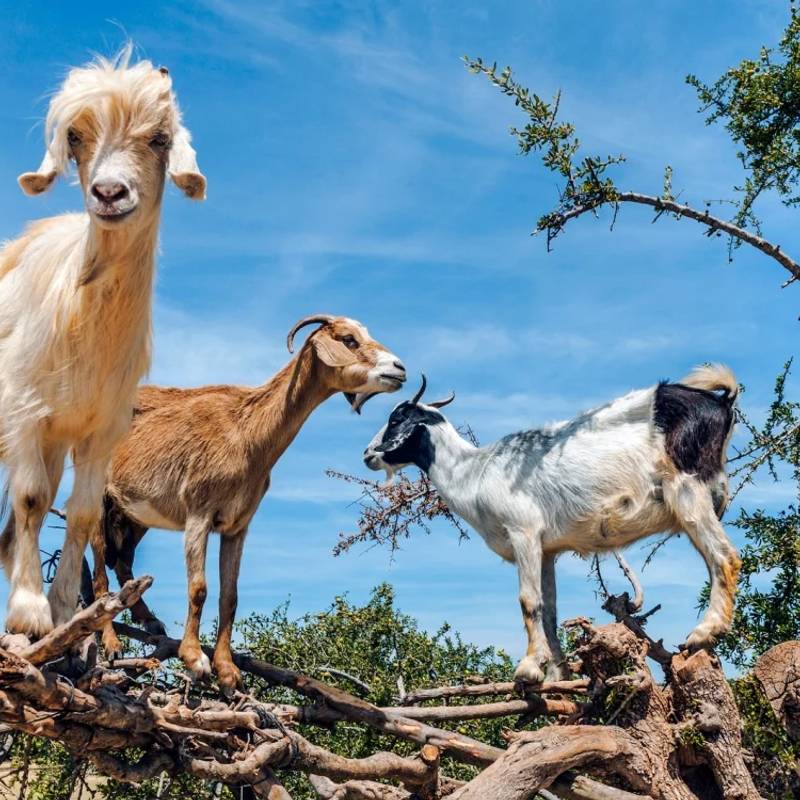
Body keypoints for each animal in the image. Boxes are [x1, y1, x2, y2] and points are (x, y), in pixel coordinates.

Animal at [0, 48, 205, 638]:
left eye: (160, 138)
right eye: (74, 136)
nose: (110, 193)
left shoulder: (100, 428)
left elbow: (82, 512)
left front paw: (64, 611)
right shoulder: (23, 412)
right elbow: (31, 500)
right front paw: (28, 612)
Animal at [92, 315, 406, 691]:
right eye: (349, 339)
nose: (399, 368)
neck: (247, 431)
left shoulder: (238, 525)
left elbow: (230, 596)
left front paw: (228, 671)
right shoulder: (199, 514)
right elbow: (199, 588)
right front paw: (195, 659)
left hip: (135, 513)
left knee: (122, 561)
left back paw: (150, 621)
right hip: (95, 498)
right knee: (98, 571)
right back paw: (111, 643)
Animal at [363, 366, 741, 683]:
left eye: (397, 418)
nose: (368, 454)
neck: (474, 471)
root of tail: (721, 402)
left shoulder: (523, 532)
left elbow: (528, 601)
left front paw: (529, 668)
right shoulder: (546, 549)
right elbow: (549, 609)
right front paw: (557, 674)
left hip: (688, 490)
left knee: (724, 557)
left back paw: (704, 632)